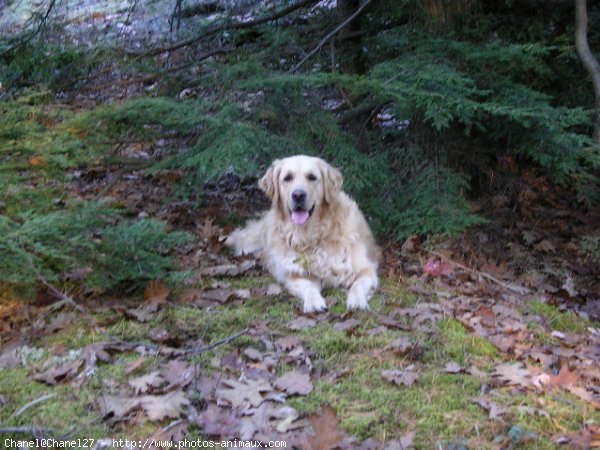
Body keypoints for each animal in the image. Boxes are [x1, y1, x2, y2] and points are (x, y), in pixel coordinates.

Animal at [226, 155, 380, 312]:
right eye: (287, 178)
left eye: (312, 177)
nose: (298, 195)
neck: (311, 234)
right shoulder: (294, 275)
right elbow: (308, 286)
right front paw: (314, 302)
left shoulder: (366, 270)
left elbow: (357, 285)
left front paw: (357, 301)